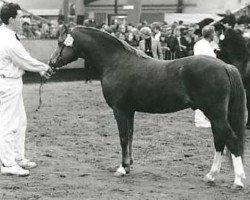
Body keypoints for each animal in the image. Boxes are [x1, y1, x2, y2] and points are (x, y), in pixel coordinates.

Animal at [48, 26, 246, 189]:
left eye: (60, 43)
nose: (51, 63)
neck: (116, 62)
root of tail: (225, 66)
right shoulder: (129, 111)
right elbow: (130, 136)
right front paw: (128, 166)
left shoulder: (119, 110)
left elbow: (123, 138)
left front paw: (122, 169)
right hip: (215, 116)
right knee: (219, 141)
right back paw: (211, 175)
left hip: (216, 115)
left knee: (232, 140)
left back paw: (237, 180)